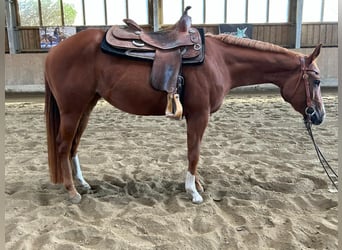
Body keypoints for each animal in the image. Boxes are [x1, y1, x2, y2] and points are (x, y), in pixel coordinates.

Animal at [44, 30, 324, 204]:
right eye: (316, 81)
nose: (320, 115)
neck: (220, 61)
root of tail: (54, 52)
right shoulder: (199, 115)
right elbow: (194, 153)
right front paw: (193, 192)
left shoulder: (196, 117)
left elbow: (194, 151)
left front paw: (197, 185)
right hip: (72, 109)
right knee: (63, 146)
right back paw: (72, 191)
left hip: (86, 107)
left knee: (74, 145)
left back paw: (82, 184)